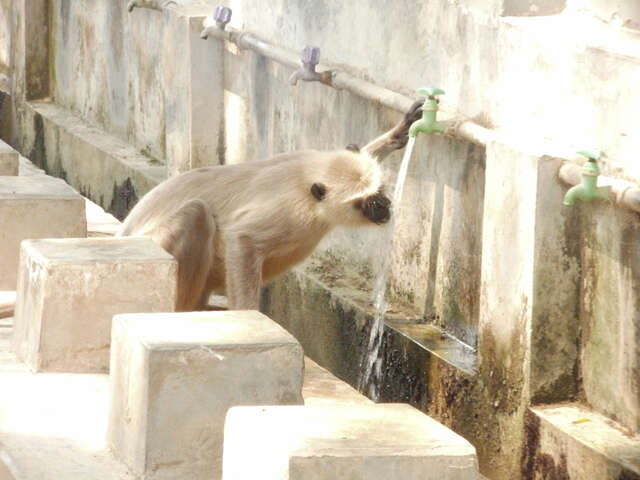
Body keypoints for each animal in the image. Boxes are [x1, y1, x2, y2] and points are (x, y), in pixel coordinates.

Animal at [117, 101, 422, 312]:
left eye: (380, 191)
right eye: (369, 202)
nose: (385, 206)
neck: (305, 183)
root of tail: (124, 234)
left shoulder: (310, 158)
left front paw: (400, 131)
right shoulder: (291, 212)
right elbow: (242, 239)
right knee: (197, 213)